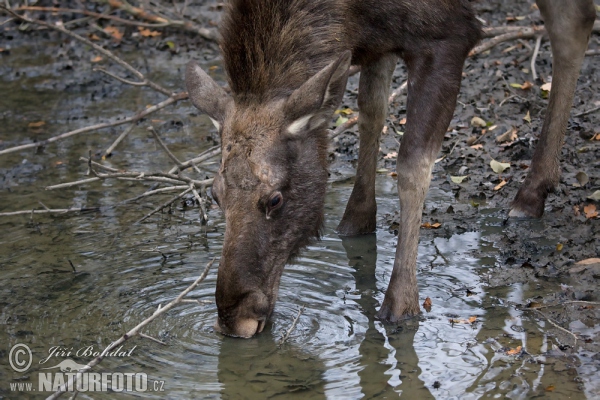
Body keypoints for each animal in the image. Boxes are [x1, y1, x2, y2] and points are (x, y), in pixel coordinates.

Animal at [186, 0, 596, 338]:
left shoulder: (448, 33)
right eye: (215, 194)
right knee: (577, 19)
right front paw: (356, 220)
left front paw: (401, 304)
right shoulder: (377, 37)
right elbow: (371, 109)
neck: (348, 12)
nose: (232, 317)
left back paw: (531, 192)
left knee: (570, 24)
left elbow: (412, 164)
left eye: (274, 199)